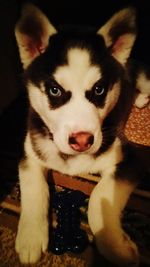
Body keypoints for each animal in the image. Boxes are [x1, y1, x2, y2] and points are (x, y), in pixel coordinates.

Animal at [14, 3, 149, 266]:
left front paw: (118, 249)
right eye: (55, 90)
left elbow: (98, 198)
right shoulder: (31, 152)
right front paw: (30, 237)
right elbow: (33, 188)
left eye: (99, 89)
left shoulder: (131, 158)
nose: (82, 140)